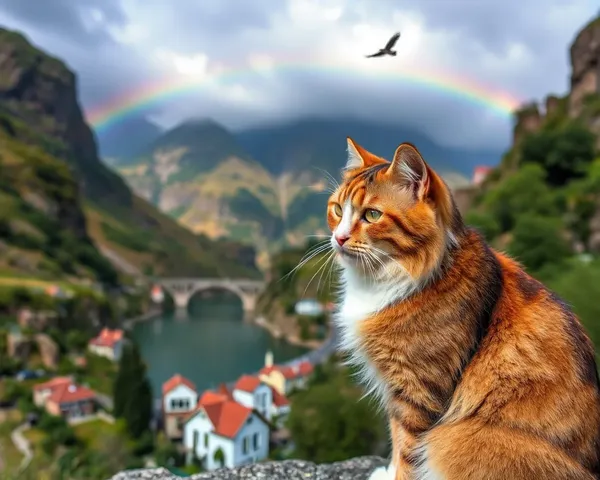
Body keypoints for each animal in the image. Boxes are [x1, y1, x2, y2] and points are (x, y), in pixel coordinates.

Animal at [328, 138, 600, 480]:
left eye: (372, 215)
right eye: (337, 210)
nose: (338, 238)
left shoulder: (418, 394)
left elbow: (406, 452)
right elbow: (396, 441)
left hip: (456, 437)